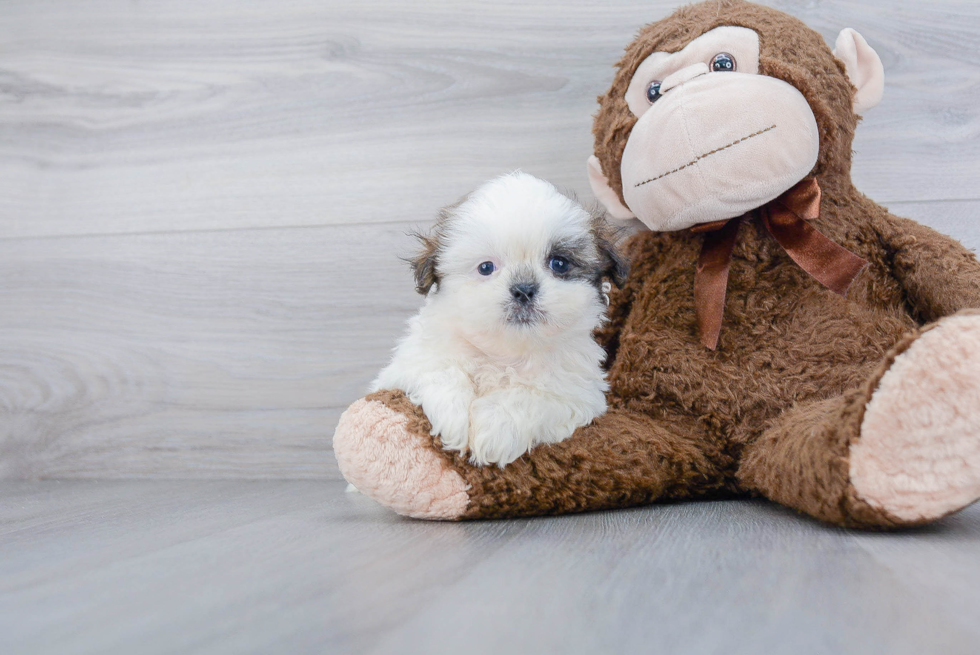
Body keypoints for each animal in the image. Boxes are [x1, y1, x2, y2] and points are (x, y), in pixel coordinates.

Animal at [368, 169, 628, 466]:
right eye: (486, 268)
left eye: (559, 263)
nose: (524, 289)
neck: (504, 354)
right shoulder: (408, 365)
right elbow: (440, 369)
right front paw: (452, 416)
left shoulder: (577, 394)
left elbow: (529, 396)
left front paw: (495, 429)